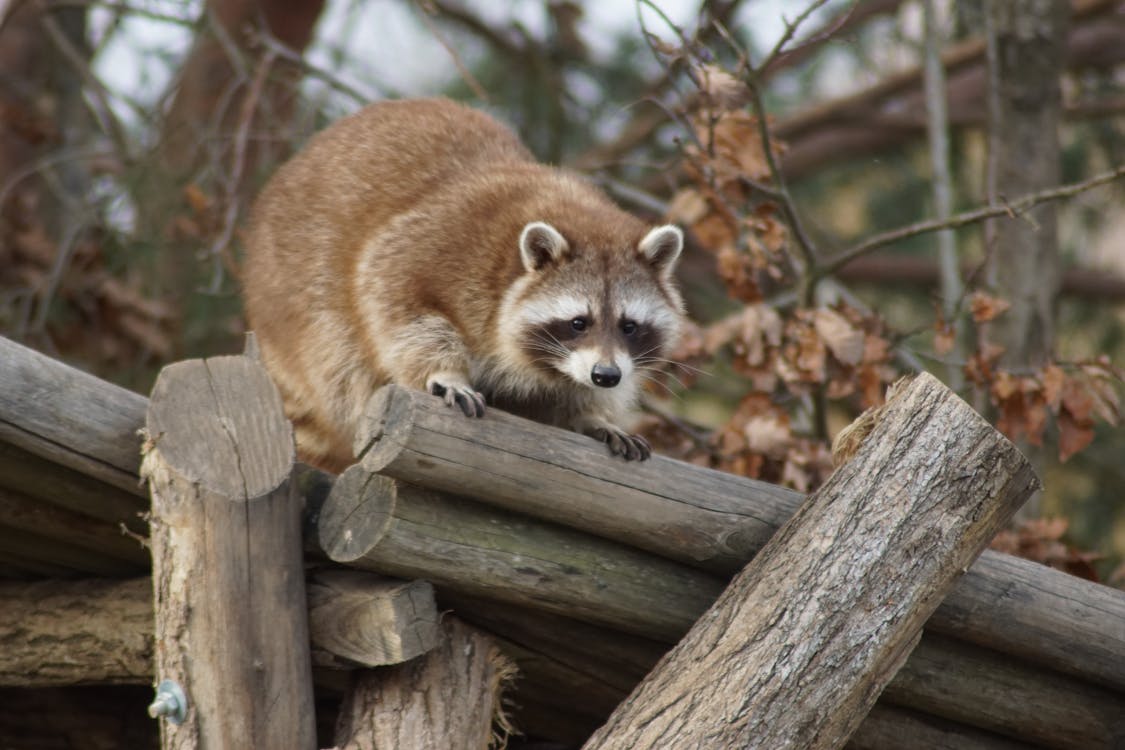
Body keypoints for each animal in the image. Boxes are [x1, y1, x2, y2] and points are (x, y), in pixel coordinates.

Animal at [244, 98, 684, 474]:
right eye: (579, 322)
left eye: (629, 326)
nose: (605, 376)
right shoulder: (442, 245)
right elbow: (394, 299)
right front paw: (445, 372)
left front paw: (591, 414)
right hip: (294, 297)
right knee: (340, 359)